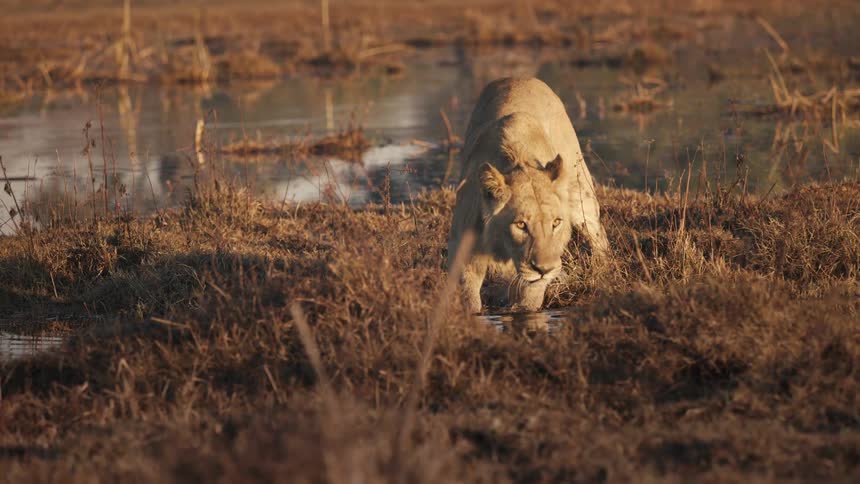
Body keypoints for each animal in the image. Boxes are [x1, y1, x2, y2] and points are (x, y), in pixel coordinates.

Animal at [447, 77, 609, 313]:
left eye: (556, 223)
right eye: (521, 225)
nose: (545, 269)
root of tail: (520, 77)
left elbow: (527, 303)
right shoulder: (463, 254)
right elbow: (469, 299)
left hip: (581, 194)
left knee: (598, 235)